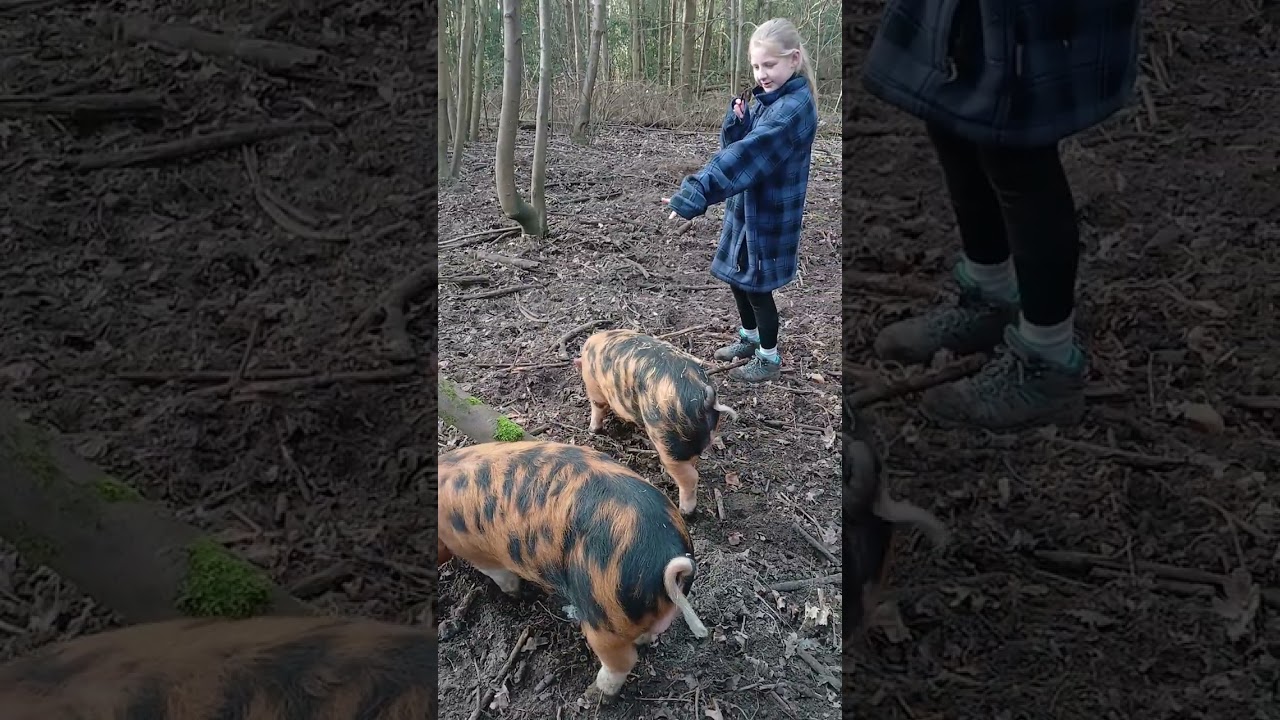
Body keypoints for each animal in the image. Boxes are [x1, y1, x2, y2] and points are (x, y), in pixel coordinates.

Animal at [437, 440, 709, 702]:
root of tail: (669, 558)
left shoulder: (474, 549)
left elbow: (500, 574)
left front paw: (514, 596)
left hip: (603, 613)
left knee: (622, 661)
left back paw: (594, 696)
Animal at [573, 328, 738, 516]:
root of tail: (704, 396)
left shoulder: (594, 387)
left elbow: (597, 407)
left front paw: (593, 429)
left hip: (668, 443)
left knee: (690, 477)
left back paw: (685, 512)